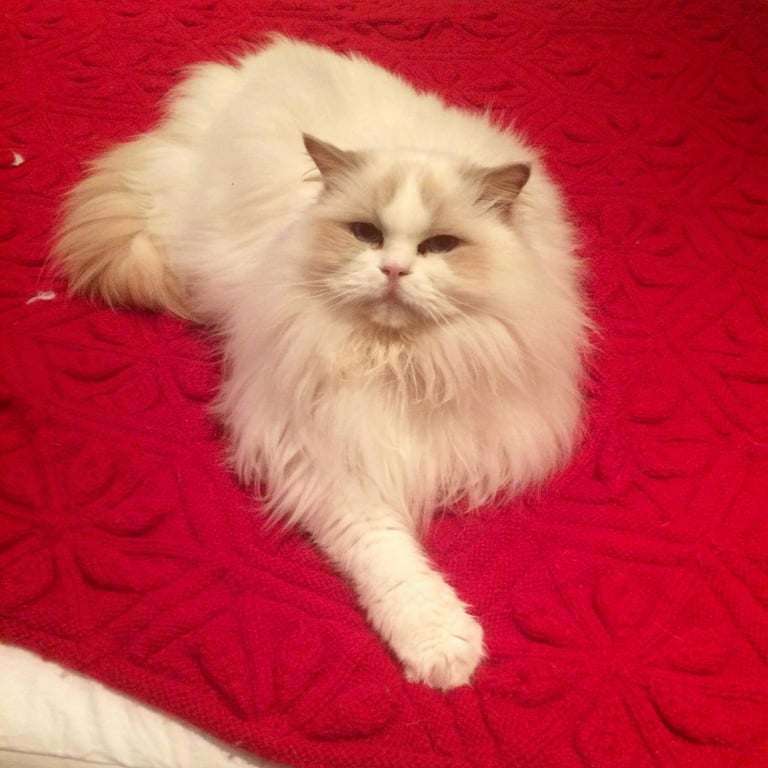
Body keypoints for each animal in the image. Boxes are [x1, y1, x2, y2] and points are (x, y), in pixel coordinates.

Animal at [55, 34, 588, 688]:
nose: (393, 271)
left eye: (440, 246)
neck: (400, 360)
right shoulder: (326, 456)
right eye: (365, 234)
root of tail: (237, 73)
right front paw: (441, 649)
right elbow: (394, 565)